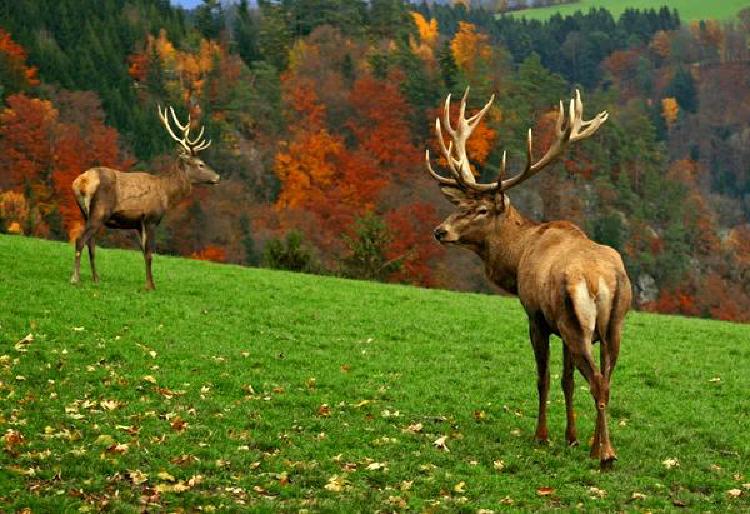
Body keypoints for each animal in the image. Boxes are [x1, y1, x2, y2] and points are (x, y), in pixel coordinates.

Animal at [70, 105, 220, 288]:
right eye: (200, 164)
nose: (217, 177)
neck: (167, 194)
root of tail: (80, 182)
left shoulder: (138, 223)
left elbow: (143, 252)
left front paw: (148, 283)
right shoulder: (151, 219)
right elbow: (149, 253)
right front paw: (151, 286)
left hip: (85, 212)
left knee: (91, 244)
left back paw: (96, 279)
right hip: (100, 211)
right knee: (80, 240)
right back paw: (75, 278)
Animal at [426, 88, 632, 468]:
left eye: (481, 209)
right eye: (459, 205)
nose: (440, 230)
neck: (518, 257)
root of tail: (602, 280)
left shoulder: (537, 318)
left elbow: (544, 378)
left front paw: (542, 436)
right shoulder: (563, 328)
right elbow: (567, 380)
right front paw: (572, 438)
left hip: (575, 323)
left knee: (597, 380)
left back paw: (606, 454)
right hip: (612, 326)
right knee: (607, 380)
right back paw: (598, 447)